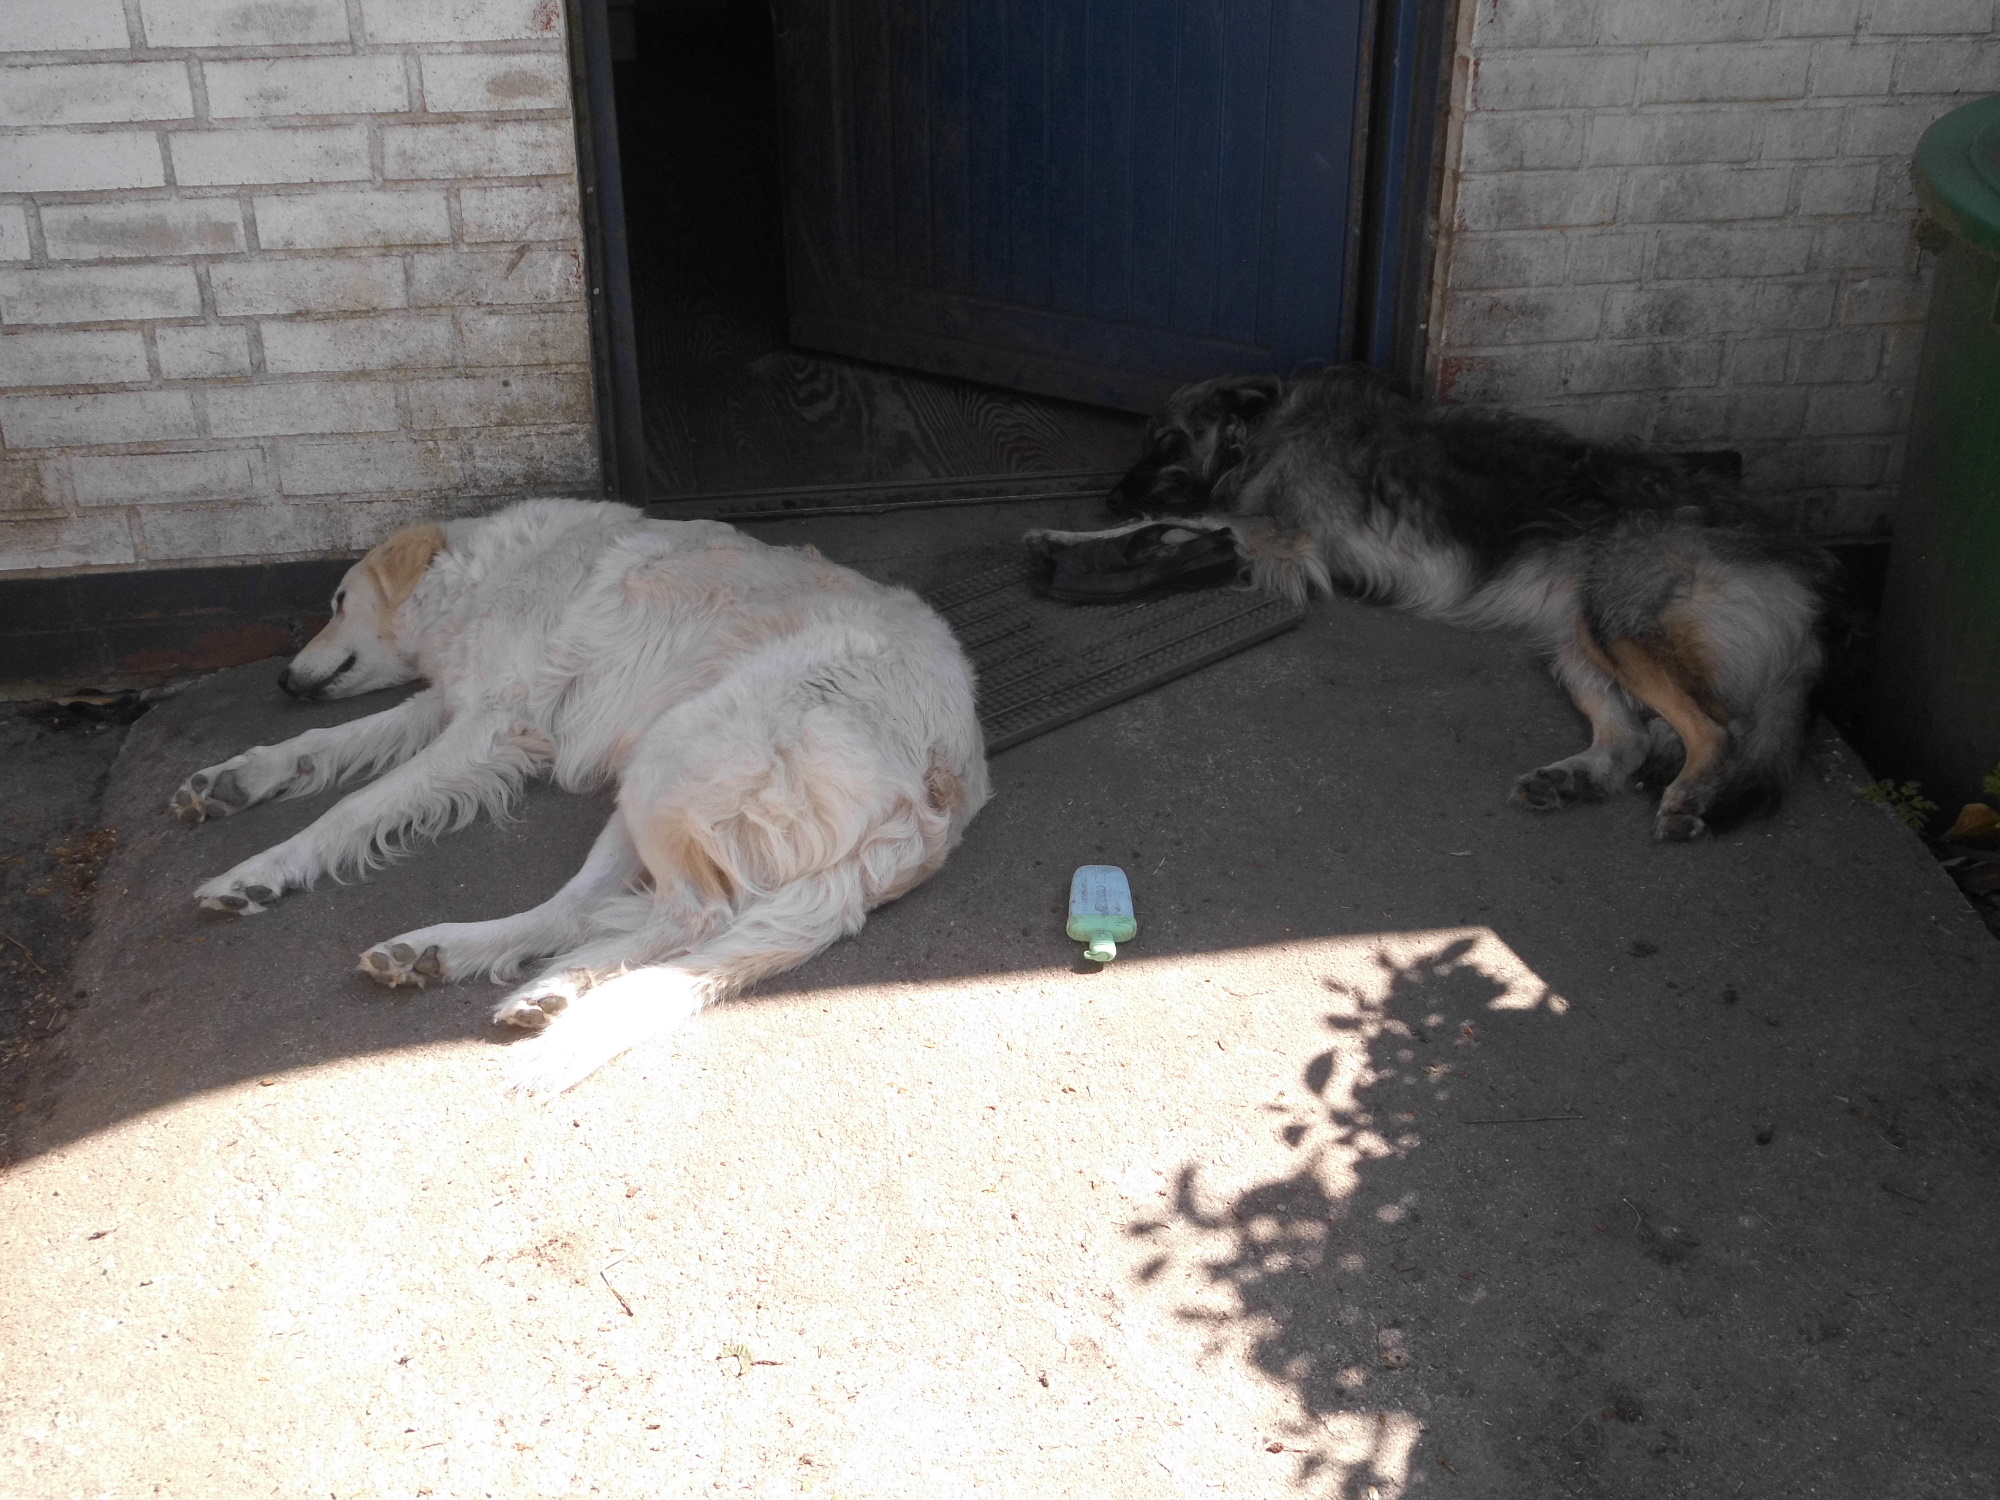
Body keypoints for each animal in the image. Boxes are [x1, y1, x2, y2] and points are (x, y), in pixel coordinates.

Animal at [171, 498, 989, 1092]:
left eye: (339, 602)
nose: (283, 680)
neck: (478, 576)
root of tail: (942, 784)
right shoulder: (451, 704)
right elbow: (325, 748)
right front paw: (233, 781)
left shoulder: (493, 722)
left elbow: (354, 806)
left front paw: (260, 869)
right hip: (648, 785)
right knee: (588, 910)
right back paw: (479, 965)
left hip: (671, 758)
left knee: (693, 914)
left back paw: (533, 983)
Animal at [1037, 367, 1830, 841]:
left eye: (1168, 442)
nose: (1110, 495)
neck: (1263, 431)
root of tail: (1789, 562)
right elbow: (1181, 525)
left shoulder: (1282, 535)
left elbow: (1181, 519)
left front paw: (1070, 536)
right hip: (1576, 638)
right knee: (1632, 735)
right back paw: (1571, 780)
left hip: (1621, 623)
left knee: (1717, 729)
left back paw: (1689, 796)